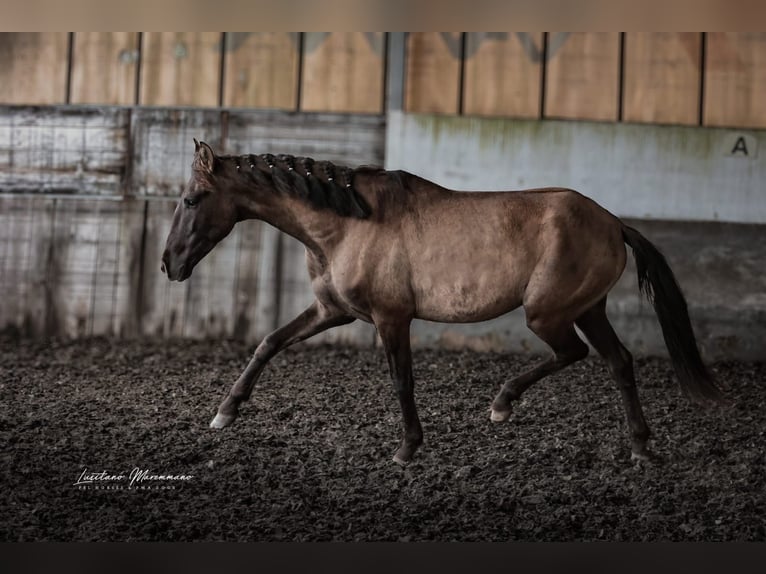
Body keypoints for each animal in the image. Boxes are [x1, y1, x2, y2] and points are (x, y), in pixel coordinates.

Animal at [161, 139, 726, 466]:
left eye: (191, 199)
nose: (169, 265)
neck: (346, 223)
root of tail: (613, 222)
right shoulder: (332, 311)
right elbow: (269, 343)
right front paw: (225, 413)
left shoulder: (391, 317)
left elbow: (401, 379)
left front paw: (407, 448)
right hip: (588, 309)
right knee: (618, 361)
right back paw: (640, 446)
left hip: (549, 313)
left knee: (576, 354)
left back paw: (503, 404)